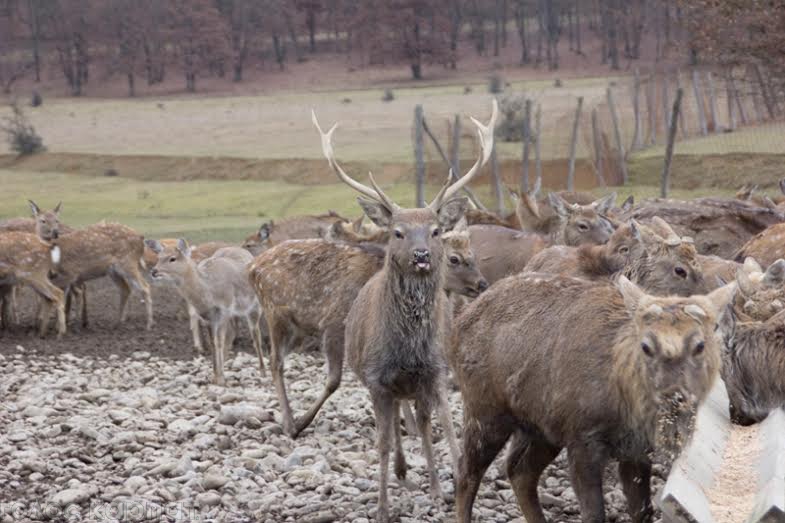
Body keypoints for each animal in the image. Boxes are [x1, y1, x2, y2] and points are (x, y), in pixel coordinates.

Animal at [149, 241, 264, 384]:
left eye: (172, 258)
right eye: (158, 257)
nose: (154, 271)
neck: (209, 291)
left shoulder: (225, 309)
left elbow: (219, 341)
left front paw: (220, 378)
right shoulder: (208, 317)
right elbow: (213, 343)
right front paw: (215, 376)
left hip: (254, 306)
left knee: (255, 334)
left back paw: (263, 370)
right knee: (232, 333)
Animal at [308, 101, 496, 520]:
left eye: (436, 230)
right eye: (397, 232)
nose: (422, 255)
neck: (406, 350)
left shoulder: (432, 374)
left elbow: (432, 428)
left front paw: (440, 491)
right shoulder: (378, 380)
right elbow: (381, 442)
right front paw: (381, 506)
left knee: (416, 424)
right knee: (394, 426)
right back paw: (399, 469)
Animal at [448, 274, 736, 523]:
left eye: (700, 345)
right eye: (646, 346)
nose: (673, 395)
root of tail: (459, 323)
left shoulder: (635, 449)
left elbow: (642, 510)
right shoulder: (582, 436)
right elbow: (594, 514)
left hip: (541, 428)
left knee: (519, 470)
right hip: (483, 410)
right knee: (466, 472)